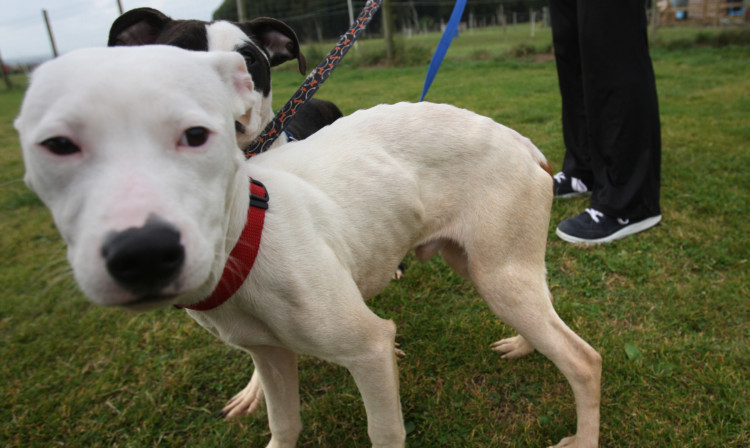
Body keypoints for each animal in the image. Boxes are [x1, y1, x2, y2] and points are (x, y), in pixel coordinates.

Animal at [16, 46, 604, 448]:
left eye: (196, 135)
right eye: (57, 146)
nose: (142, 250)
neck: (246, 238)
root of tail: (518, 140)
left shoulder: (368, 350)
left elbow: (384, 431)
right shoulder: (271, 357)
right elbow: (285, 424)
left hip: (499, 274)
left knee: (583, 359)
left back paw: (582, 435)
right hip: (492, 266)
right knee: (546, 315)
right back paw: (525, 343)